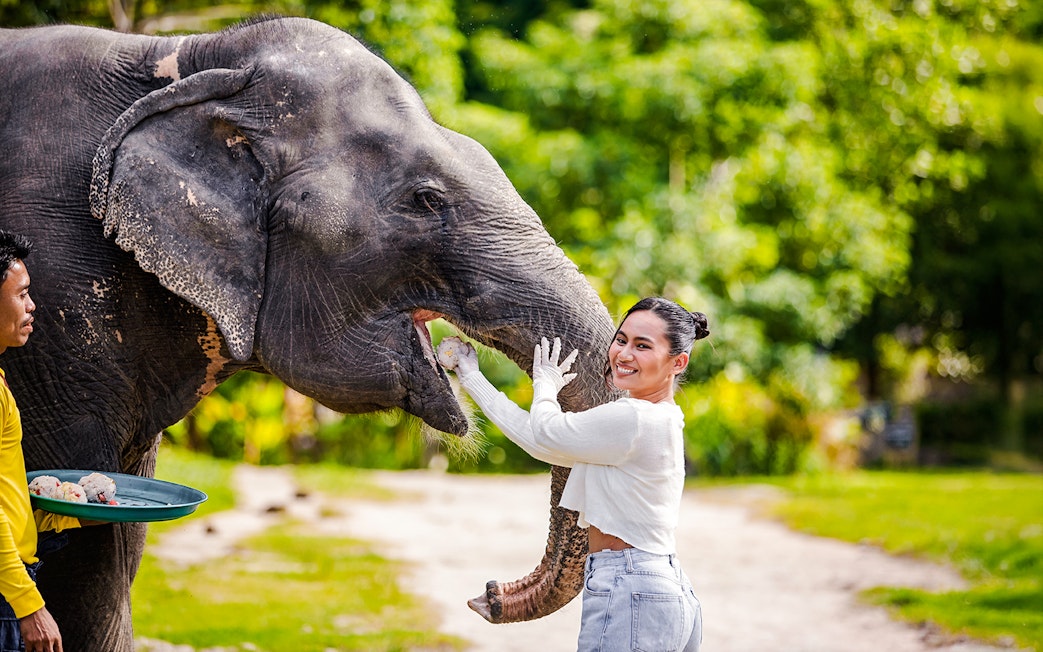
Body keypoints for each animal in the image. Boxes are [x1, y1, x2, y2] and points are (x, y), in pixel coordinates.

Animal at [0, 16, 617, 650]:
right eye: (426, 200)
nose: (486, 595)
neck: (194, 60)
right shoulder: (53, 304)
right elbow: (86, 551)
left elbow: (122, 542)